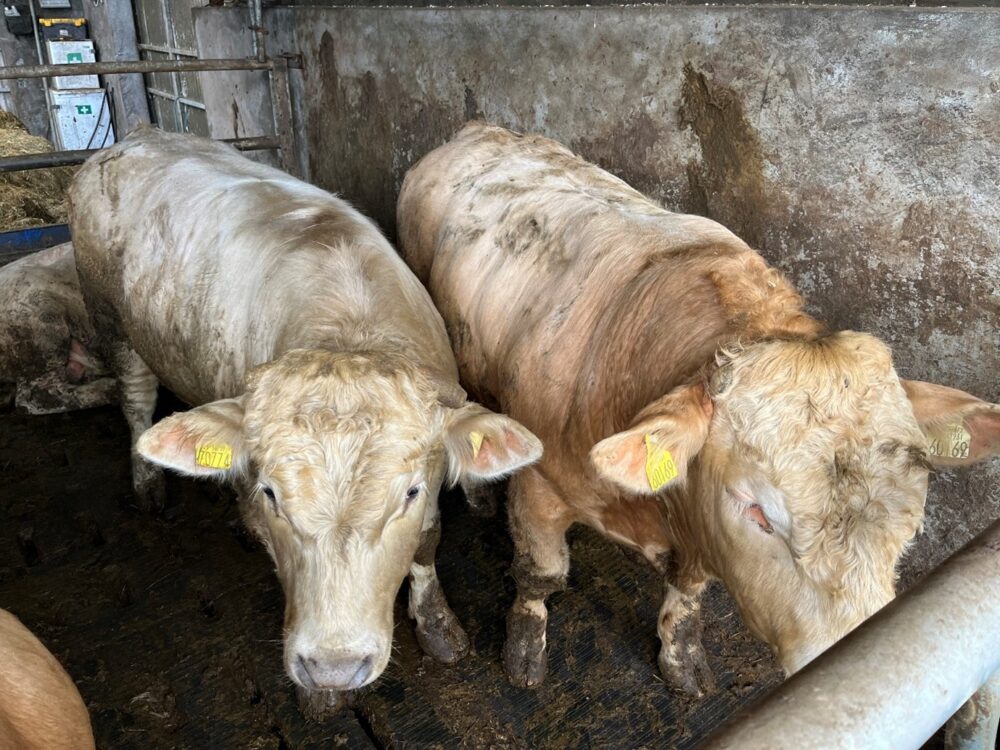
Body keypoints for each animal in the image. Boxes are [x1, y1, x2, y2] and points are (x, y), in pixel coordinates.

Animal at [67, 128, 542, 716]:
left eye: (408, 492)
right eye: (271, 494)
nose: (333, 667)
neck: (349, 332)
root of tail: (134, 136)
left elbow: (427, 542)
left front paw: (438, 628)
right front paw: (319, 698)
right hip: (110, 318)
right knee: (136, 402)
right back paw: (148, 486)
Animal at [397, 122, 1000, 695]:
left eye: (912, 523)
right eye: (758, 513)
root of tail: (479, 130)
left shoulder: (700, 531)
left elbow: (688, 593)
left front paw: (681, 658)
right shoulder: (540, 486)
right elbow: (539, 575)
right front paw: (524, 651)